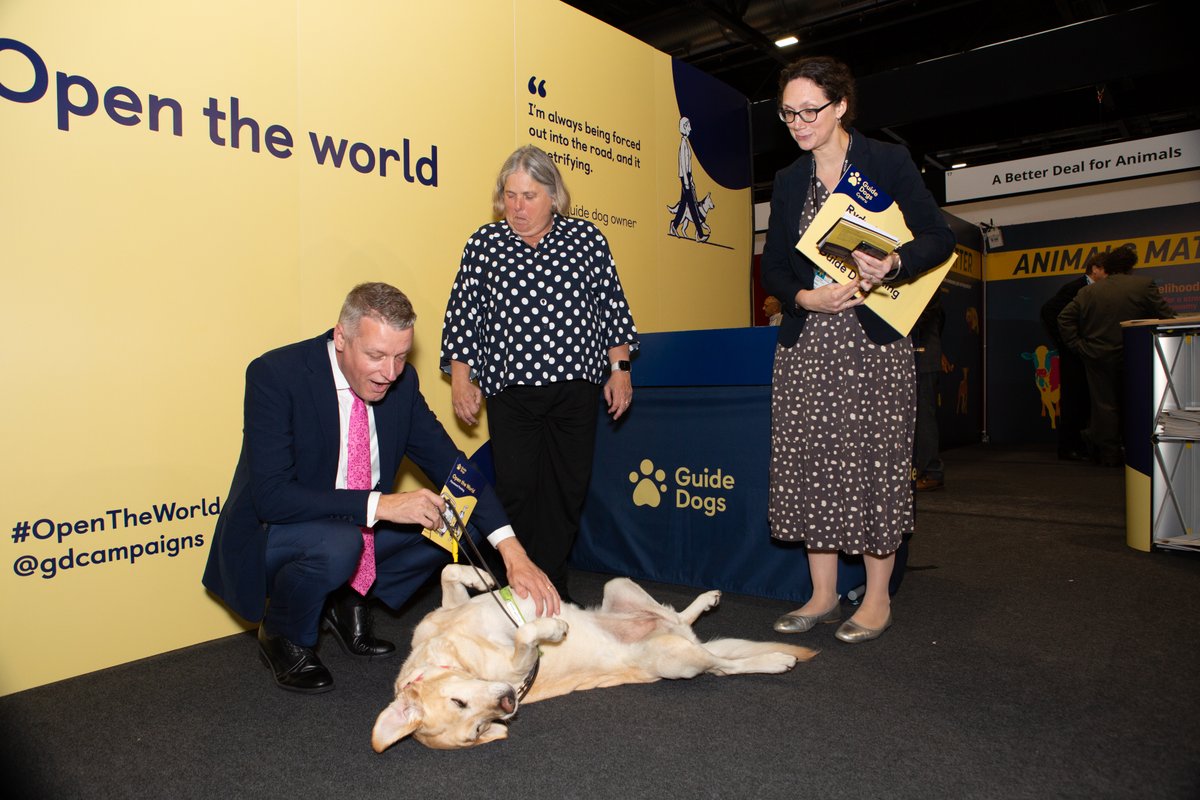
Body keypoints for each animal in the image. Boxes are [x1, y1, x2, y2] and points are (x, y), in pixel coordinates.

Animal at [369, 563, 816, 753]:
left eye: (459, 702)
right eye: (478, 728)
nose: (509, 703)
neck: (447, 650)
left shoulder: (449, 609)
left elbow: (448, 570)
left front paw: (479, 574)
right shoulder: (517, 666)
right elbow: (526, 634)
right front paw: (551, 630)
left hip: (620, 586)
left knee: (675, 614)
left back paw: (705, 601)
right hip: (678, 661)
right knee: (723, 664)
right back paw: (775, 661)